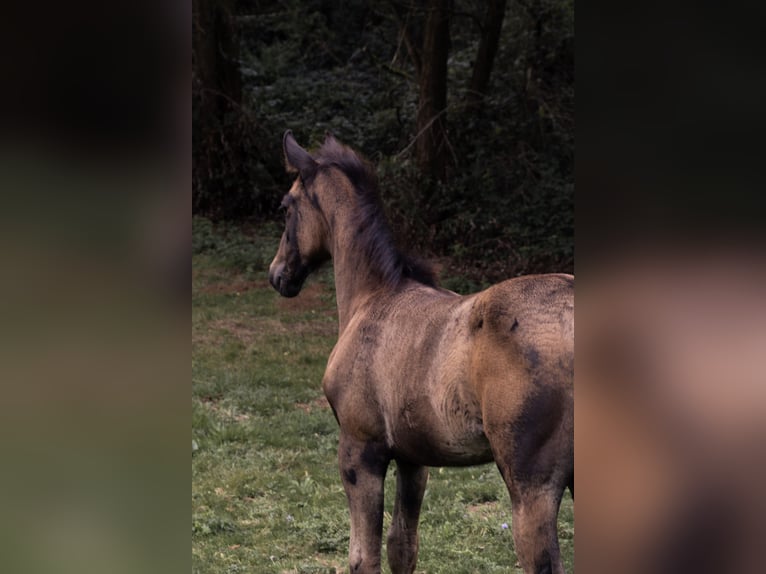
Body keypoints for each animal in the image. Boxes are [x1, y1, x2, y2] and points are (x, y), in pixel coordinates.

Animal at [268, 131, 574, 574]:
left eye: (286, 206)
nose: (277, 275)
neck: (373, 297)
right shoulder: (414, 458)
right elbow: (403, 547)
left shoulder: (360, 451)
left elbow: (363, 558)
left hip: (531, 486)